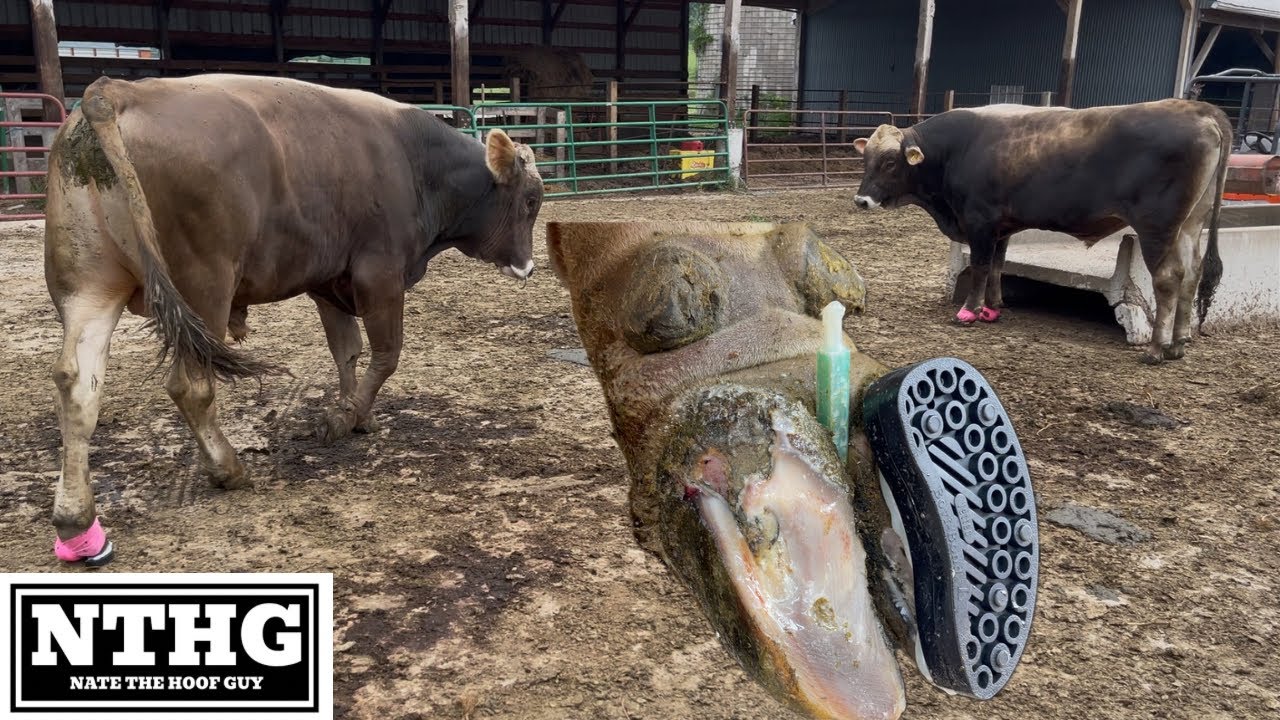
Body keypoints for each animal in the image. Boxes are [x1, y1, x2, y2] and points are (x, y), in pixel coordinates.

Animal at [43, 73, 544, 566]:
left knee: (78, 385)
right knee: (191, 386)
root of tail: (117, 90)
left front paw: (353, 412)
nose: (528, 268)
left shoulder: (329, 281)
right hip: (205, 288)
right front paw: (345, 417)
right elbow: (386, 356)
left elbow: (347, 352)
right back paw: (228, 468)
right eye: (531, 200)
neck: (414, 161)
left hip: (89, 288)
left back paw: (76, 520)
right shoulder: (379, 274)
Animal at [851, 99, 1231, 365]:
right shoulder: (1002, 226)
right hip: (1190, 225)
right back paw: (1178, 343)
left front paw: (970, 312)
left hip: (1157, 228)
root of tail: (1199, 109)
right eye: (866, 160)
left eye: (890, 162)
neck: (956, 151)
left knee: (1168, 279)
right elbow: (997, 267)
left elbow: (980, 267)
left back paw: (1155, 349)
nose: (861, 200)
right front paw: (992, 309)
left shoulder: (980, 221)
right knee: (1192, 274)